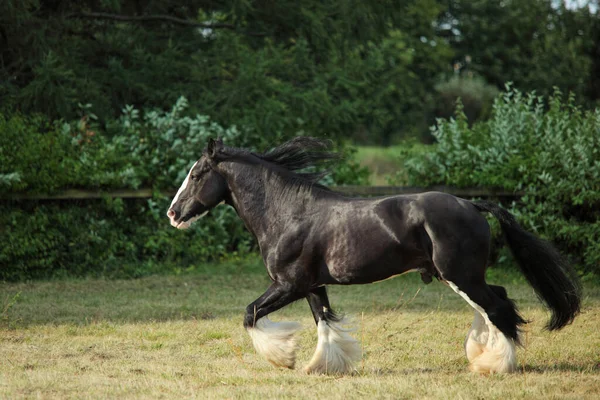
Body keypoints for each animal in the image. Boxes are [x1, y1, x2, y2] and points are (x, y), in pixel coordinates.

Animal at [166, 137, 580, 376]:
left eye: (196, 174)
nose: (173, 213)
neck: (288, 214)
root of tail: (472, 205)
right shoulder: (312, 285)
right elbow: (324, 323)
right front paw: (324, 367)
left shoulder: (288, 284)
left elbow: (250, 313)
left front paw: (284, 358)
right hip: (462, 276)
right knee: (497, 301)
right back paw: (484, 356)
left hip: (461, 274)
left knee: (497, 306)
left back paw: (498, 366)